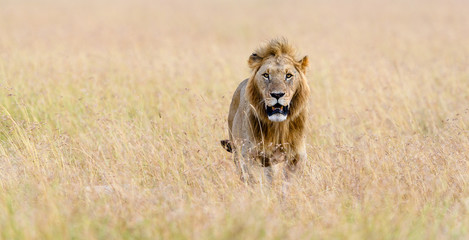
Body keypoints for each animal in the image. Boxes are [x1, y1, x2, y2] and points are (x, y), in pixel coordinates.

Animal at [220, 38, 308, 184]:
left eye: (288, 75)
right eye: (266, 75)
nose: (277, 94)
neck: (277, 128)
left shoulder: (297, 156)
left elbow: (289, 184)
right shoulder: (249, 155)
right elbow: (256, 181)